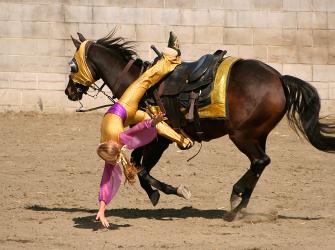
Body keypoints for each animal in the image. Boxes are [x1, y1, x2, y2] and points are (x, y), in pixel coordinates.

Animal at [65, 32, 335, 220]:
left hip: (242, 135)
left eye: (73, 65)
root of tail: (279, 78)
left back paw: (235, 202)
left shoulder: (160, 139)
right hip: (258, 135)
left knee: (260, 161)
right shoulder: (151, 138)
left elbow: (142, 169)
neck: (140, 84)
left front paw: (170, 191)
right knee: (259, 164)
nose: (69, 91)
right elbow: (137, 163)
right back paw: (239, 203)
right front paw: (157, 193)